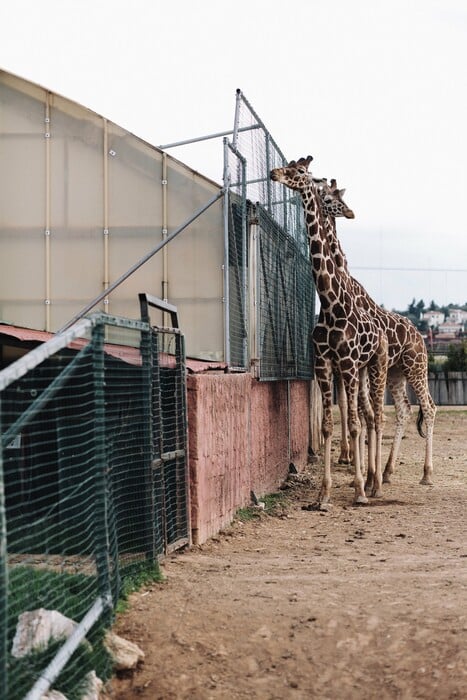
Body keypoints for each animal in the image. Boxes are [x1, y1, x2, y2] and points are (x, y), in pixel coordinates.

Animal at [268, 157, 390, 508]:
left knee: (375, 417)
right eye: (288, 166)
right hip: (360, 371)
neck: (331, 302)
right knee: (366, 415)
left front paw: (359, 489)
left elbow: (353, 424)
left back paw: (375, 484)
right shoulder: (324, 363)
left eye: (299, 171)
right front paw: (323, 494)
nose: (274, 173)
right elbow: (327, 426)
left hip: (376, 365)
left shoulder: (346, 363)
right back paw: (369, 479)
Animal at [316, 178, 436, 490]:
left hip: (415, 368)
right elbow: (355, 409)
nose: (350, 212)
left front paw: (357, 472)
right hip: (395, 372)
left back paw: (425, 473)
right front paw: (356, 468)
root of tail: (421, 338)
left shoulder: (354, 365)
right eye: (328, 196)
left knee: (428, 407)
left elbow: (361, 411)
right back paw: (387, 471)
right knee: (404, 409)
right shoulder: (346, 366)